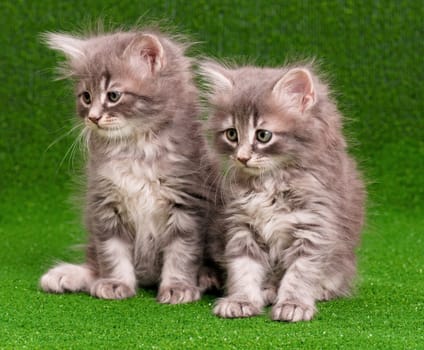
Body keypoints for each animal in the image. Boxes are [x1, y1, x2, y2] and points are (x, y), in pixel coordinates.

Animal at [39, 28, 219, 304]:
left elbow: (181, 253)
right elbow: (112, 252)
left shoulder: (187, 204)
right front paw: (115, 283)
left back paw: (207, 277)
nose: (93, 117)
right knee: (93, 264)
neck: (135, 150)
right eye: (86, 97)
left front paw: (178, 287)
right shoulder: (104, 204)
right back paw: (65, 275)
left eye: (113, 96)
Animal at [200, 60, 366, 320]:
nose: (242, 157)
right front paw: (241, 300)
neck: (269, 184)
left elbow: (300, 273)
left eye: (263, 135)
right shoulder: (240, 225)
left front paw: (294, 304)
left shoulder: (314, 226)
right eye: (232, 134)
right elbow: (243, 268)